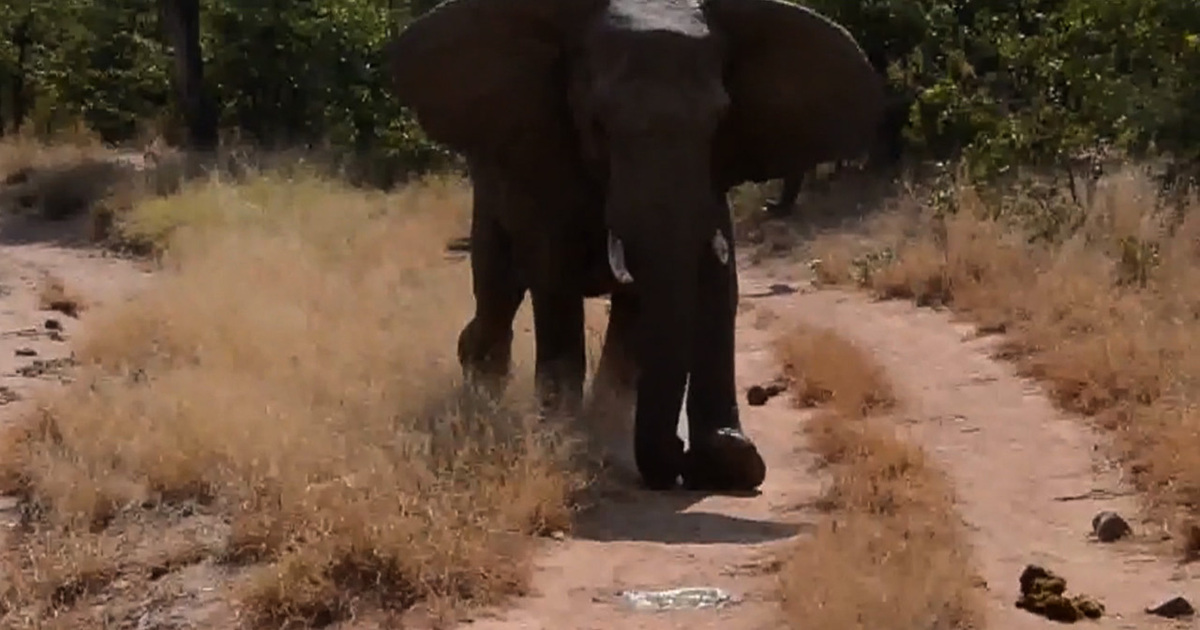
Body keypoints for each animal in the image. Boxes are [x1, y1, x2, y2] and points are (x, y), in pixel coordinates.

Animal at [387, 0, 885, 492]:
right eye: (598, 123)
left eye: (719, 122)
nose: (678, 456)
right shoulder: (548, 157)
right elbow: (554, 281)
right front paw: (564, 436)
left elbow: (715, 286)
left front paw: (729, 459)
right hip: (489, 188)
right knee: (497, 293)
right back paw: (487, 390)